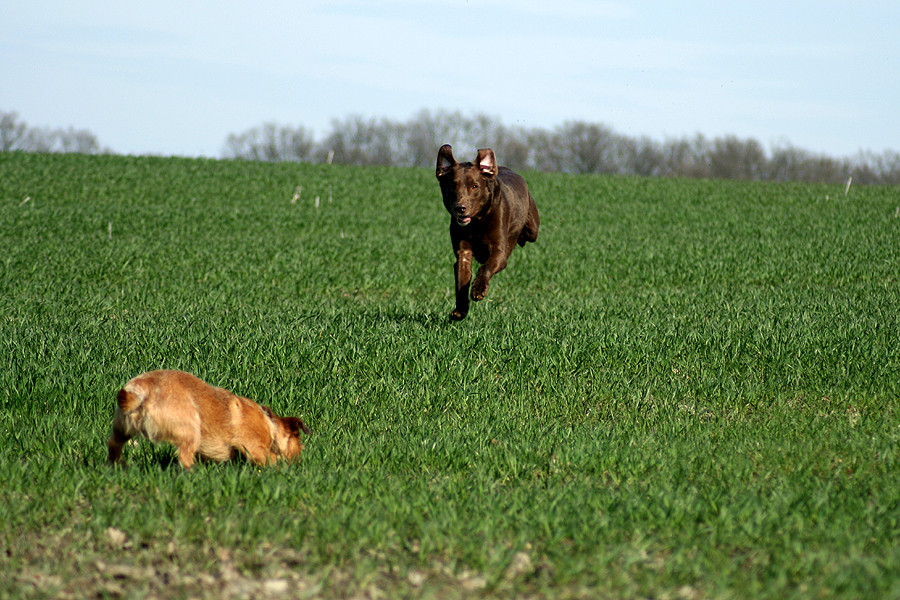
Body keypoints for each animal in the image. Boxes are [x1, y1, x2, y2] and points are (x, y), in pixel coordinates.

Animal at [107, 370, 312, 468]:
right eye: (298, 448)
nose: (299, 463)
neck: (271, 425)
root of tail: (140, 394)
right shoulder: (254, 447)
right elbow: (271, 459)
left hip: (121, 429)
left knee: (114, 445)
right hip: (191, 430)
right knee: (185, 457)